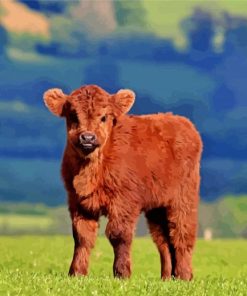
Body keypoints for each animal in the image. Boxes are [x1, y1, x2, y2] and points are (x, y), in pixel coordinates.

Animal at [44, 85, 203, 280]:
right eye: (73, 115)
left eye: (104, 117)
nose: (87, 138)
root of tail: (183, 122)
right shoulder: (78, 202)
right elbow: (82, 236)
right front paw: (77, 273)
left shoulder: (124, 202)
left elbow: (118, 234)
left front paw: (122, 273)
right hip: (157, 208)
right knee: (164, 241)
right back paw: (167, 277)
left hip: (183, 200)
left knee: (181, 235)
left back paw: (183, 275)